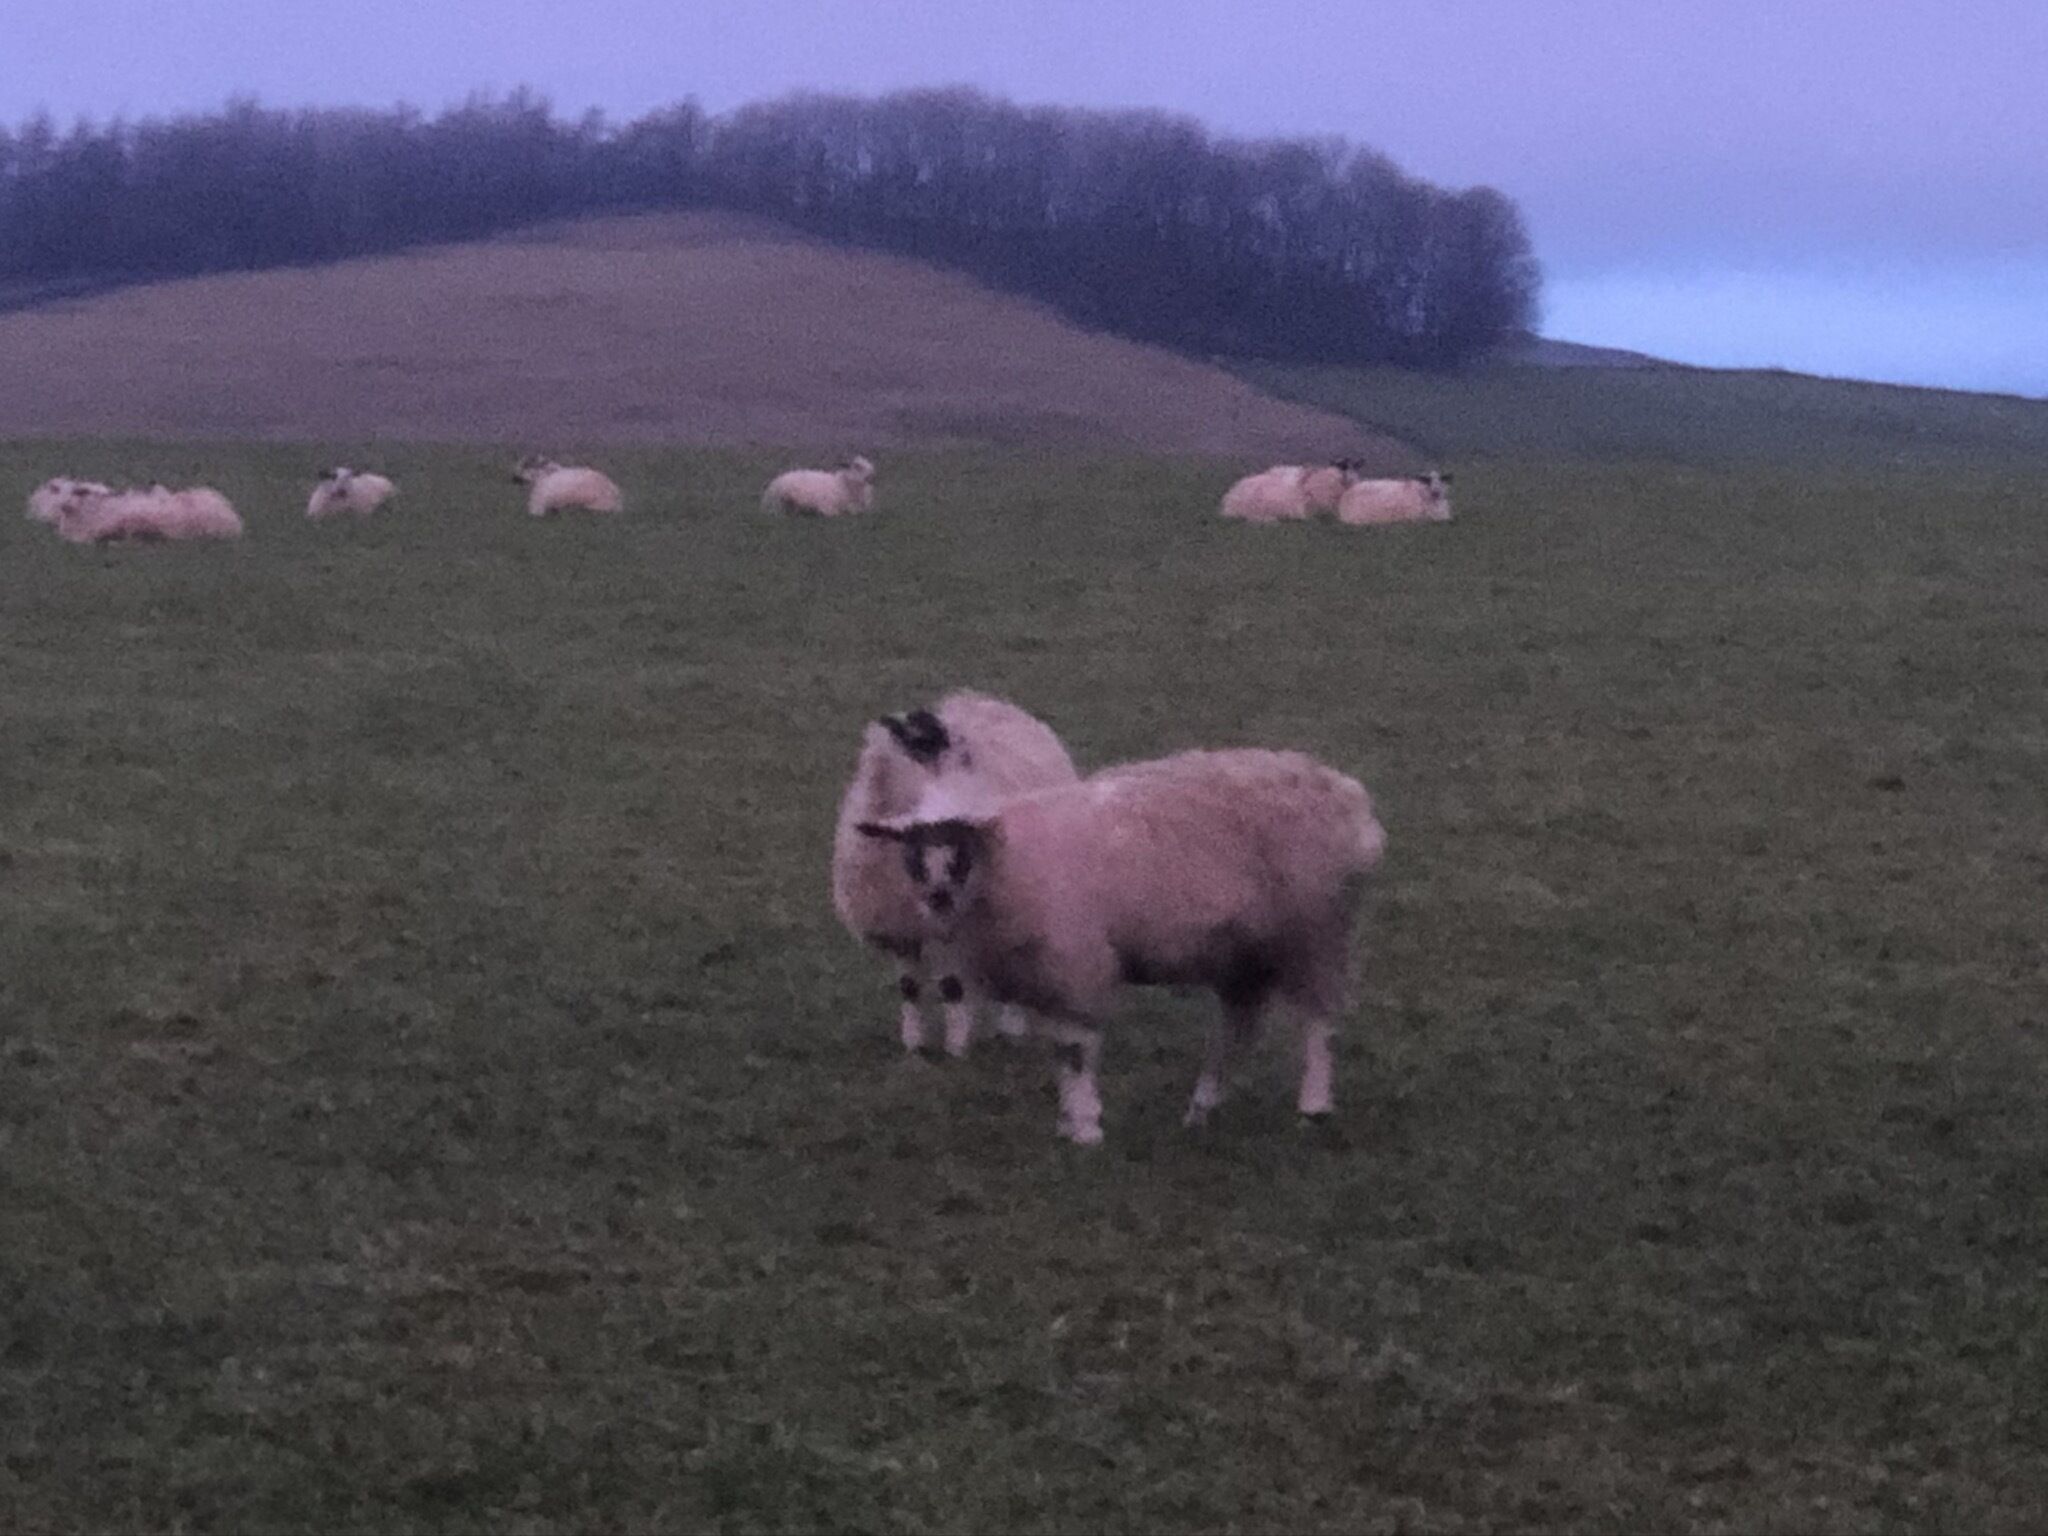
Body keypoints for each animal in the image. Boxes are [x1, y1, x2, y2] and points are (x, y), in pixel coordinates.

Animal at [833, 691, 1080, 1059]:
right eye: (921, 744)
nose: (939, 894)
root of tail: (981, 701)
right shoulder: (899, 926)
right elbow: (908, 986)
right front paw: (914, 1045)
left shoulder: (952, 927)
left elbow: (951, 987)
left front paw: (956, 1049)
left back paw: (1011, 1028)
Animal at [859, 749, 1385, 1146]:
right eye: (910, 852)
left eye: (960, 846)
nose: (937, 896)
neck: (1005, 863)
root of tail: (1348, 796)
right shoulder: (1047, 973)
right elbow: (1059, 1049)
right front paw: (1069, 1120)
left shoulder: (1076, 962)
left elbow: (1075, 1050)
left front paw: (1085, 1127)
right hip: (1246, 951)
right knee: (1237, 1030)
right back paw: (1201, 1109)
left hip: (1314, 931)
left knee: (1319, 1023)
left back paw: (1313, 1106)